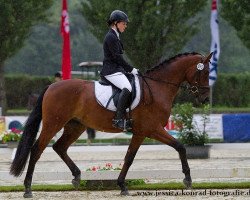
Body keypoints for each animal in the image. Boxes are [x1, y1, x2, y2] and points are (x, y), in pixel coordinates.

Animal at [10, 52, 213, 198]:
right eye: (204, 72)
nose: (205, 99)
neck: (158, 88)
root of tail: (51, 87)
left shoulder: (140, 133)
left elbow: (129, 157)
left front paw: (122, 185)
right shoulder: (152, 129)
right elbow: (180, 146)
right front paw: (187, 179)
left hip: (75, 126)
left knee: (59, 147)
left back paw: (76, 177)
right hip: (53, 123)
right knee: (37, 149)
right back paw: (28, 189)